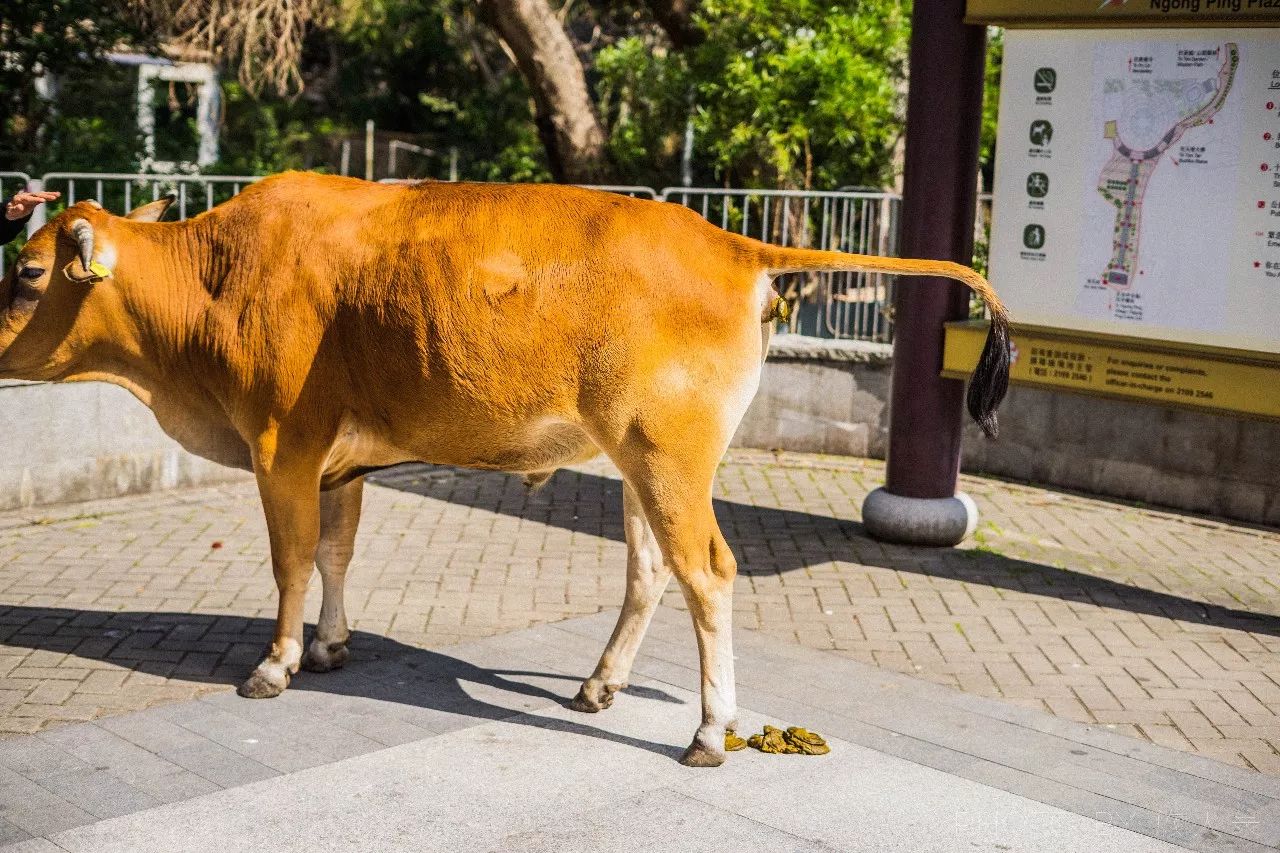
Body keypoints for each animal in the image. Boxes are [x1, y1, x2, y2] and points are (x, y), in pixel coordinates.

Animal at [5, 172, 1003, 763]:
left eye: (27, 272)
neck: (217, 272)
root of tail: (732, 242)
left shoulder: (281, 449)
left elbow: (289, 561)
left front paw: (276, 663)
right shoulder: (338, 463)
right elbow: (334, 554)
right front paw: (330, 645)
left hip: (669, 458)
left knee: (708, 572)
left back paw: (711, 729)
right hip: (637, 462)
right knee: (650, 571)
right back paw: (599, 684)